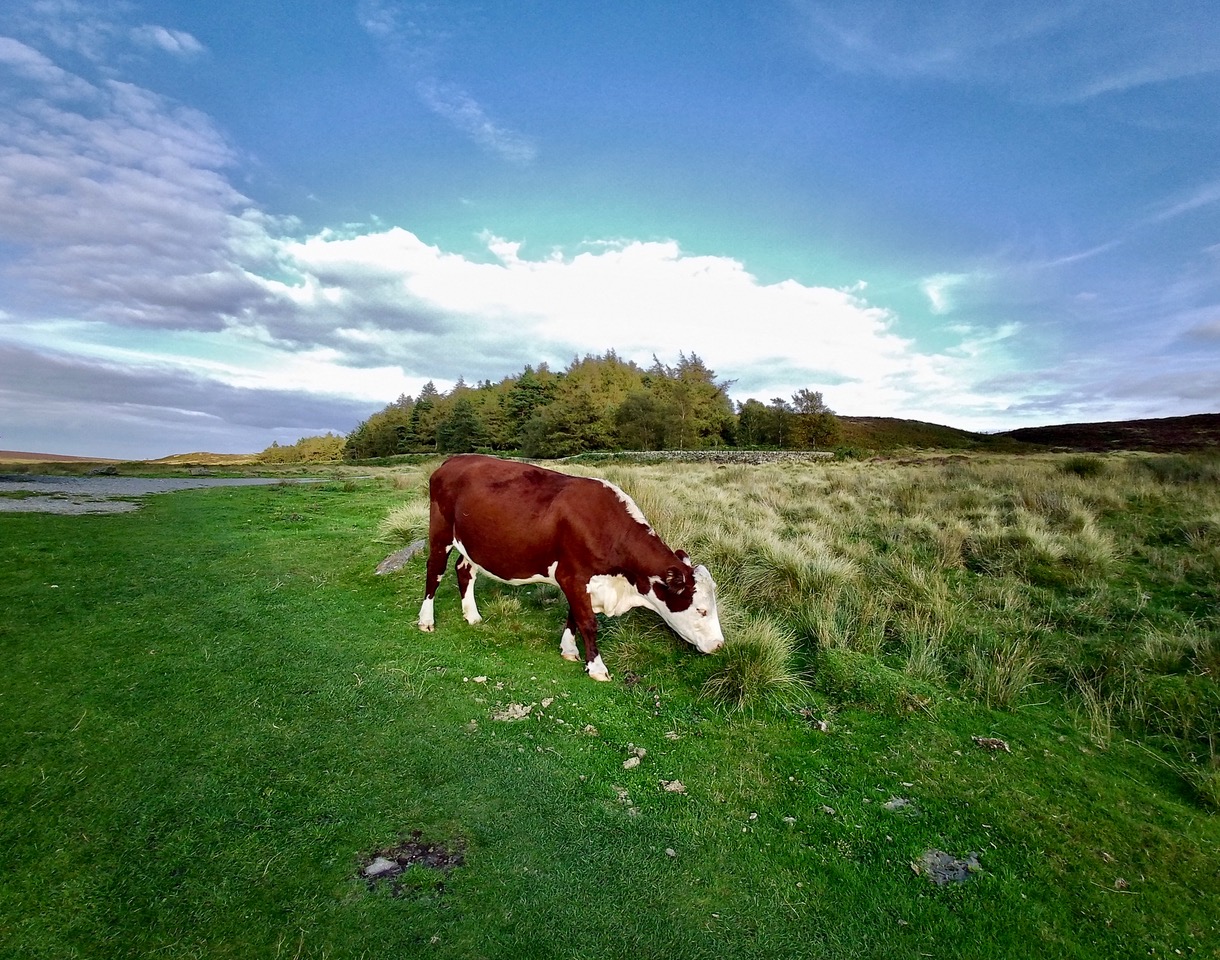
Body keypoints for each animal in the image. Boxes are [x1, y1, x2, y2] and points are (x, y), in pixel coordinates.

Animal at [417, 454, 724, 681]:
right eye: (701, 609)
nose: (720, 645)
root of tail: (453, 460)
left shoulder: (579, 580)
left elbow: (574, 617)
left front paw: (568, 650)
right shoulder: (573, 576)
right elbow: (588, 622)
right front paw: (597, 668)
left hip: (471, 543)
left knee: (464, 570)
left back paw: (472, 615)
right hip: (440, 534)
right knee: (434, 572)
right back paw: (426, 620)